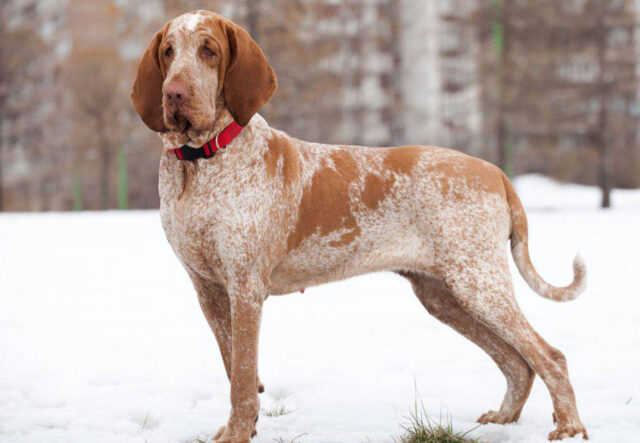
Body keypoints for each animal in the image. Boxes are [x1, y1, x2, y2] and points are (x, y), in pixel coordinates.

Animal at [131, 10, 592, 443]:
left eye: (209, 51)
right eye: (168, 51)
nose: (174, 94)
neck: (201, 164)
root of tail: (496, 171)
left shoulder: (245, 289)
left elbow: (243, 380)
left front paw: (239, 434)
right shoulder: (209, 291)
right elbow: (234, 369)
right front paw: (239, 428)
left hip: (478, 284)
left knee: (549, 356)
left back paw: (569, 427)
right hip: (444, 296)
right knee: (517, 363)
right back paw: (504, 418)